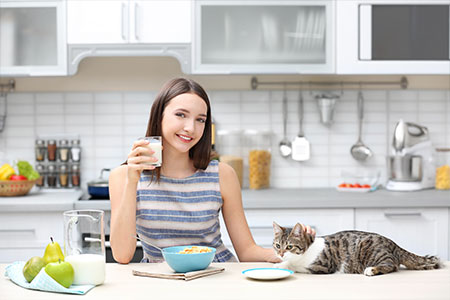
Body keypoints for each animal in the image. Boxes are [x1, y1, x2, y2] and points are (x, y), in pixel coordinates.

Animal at [272, 221, 442, 276]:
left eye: (289, 246)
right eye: (277, 245)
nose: (280, 254)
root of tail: (393, 243)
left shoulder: (323, 266)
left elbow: (295, 266)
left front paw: (283, 265)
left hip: (371, 250)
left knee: (392, 265)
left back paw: (372, 270)